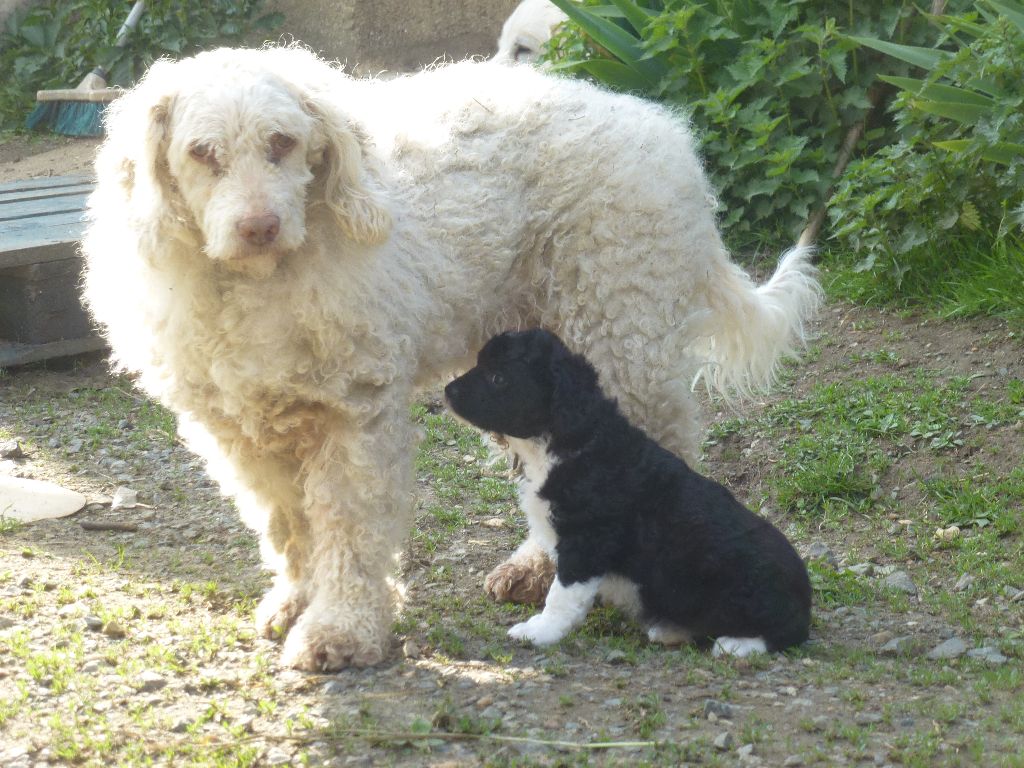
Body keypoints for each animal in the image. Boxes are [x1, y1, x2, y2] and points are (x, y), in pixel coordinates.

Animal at [445, 329, 812, 655]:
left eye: (498, 378)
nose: (448, 391)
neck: (566, 438)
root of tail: (804, 599)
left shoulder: (587, 539)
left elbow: (562, 594)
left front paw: (540, 631)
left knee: (786, 632)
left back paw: (737, 644)